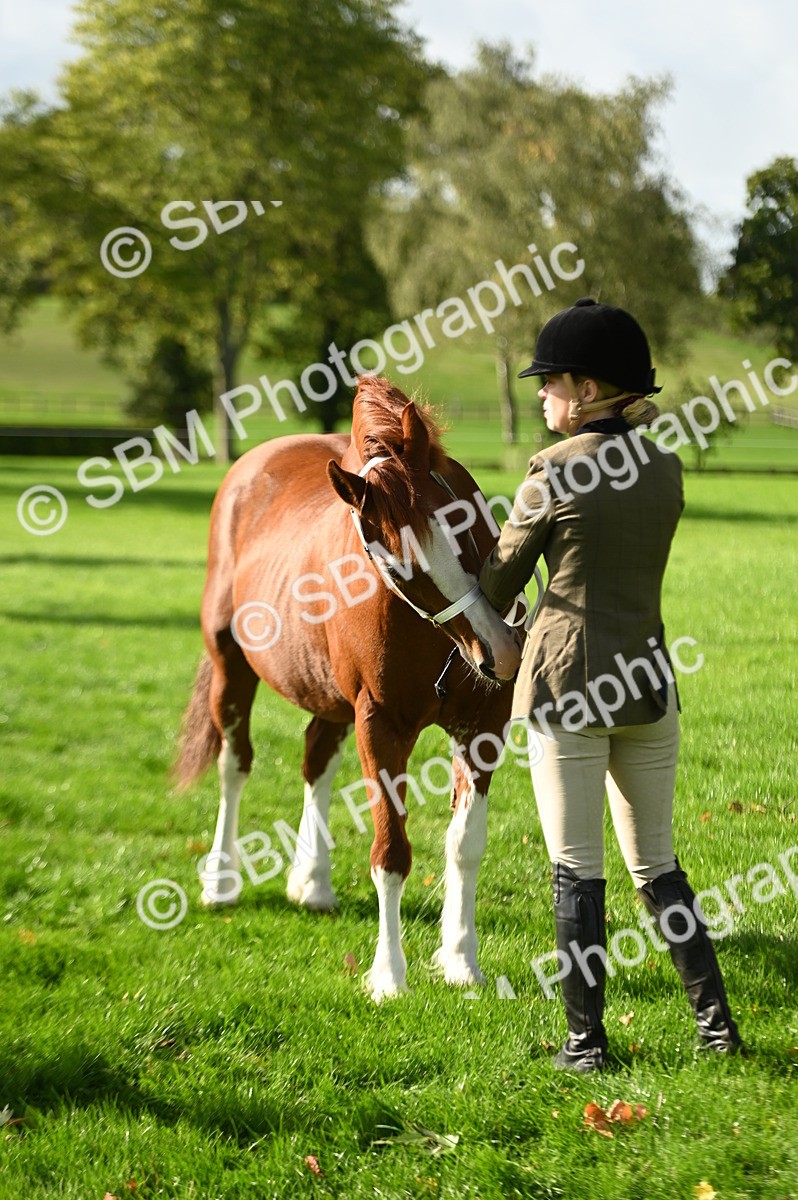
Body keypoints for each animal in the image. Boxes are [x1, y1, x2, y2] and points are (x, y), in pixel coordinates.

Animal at [175, 376, 524, 1000]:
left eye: (463, 518)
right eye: (397, 562)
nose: (498, 649)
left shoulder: (482, 725)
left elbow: (466, 844)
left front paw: (461, 961)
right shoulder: (380, 724)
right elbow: (390, 852)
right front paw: (389, 974)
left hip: (330, 698)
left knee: (316, 758)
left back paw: (312, 882)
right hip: (231, 669)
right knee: (235, 764)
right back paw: (222, 879)